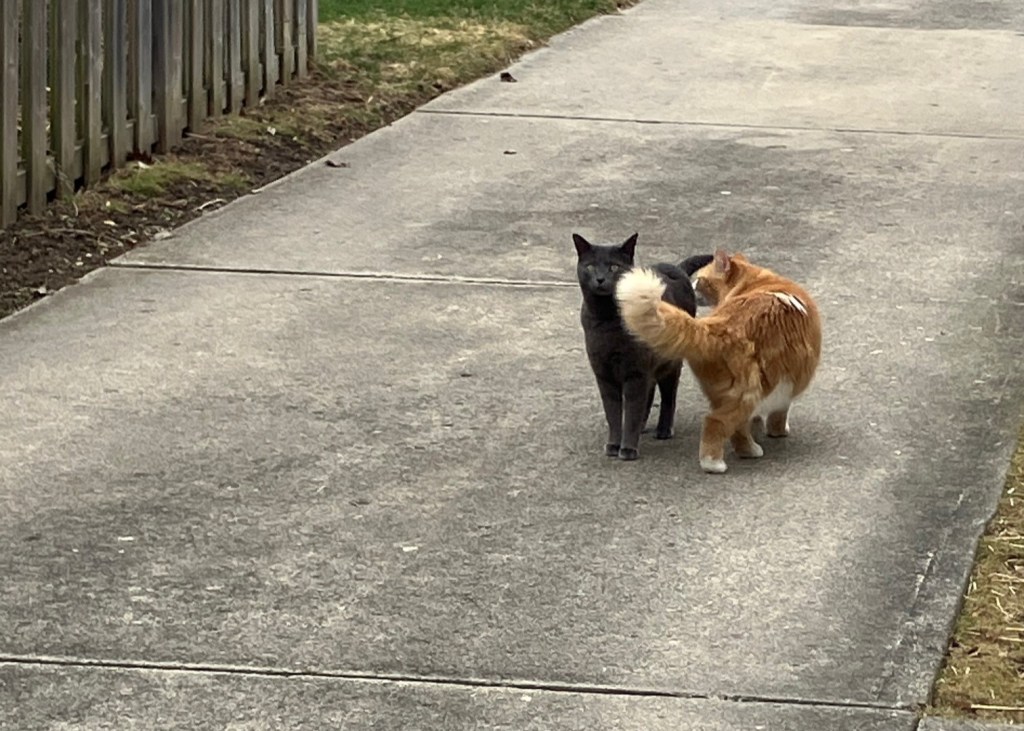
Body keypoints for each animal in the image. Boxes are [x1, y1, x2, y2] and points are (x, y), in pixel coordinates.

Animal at [573, 232, 713, 460]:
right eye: (591, 266)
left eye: (614, 267)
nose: (600, 278)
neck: (607, 320)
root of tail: (677, 268)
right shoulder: (604, 374)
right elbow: (613, 413)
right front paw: (614, 445)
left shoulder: (635, 372)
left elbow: (631, 411)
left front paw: (628, 449)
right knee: (650, 391)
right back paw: (643, 426)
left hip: (669, 362)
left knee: (667, 395)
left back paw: (663, 430)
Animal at [615, 249, 822, 473]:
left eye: (701, 279)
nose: (692, 284)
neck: (758, 281)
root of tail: (716, 328)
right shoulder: (787, 386)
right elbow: (779, 413)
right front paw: (778, 431)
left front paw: (759, 427)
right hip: (749, 393)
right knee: (715, 422)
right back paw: (716, 462)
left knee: (736, 428)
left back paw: (749, 448)